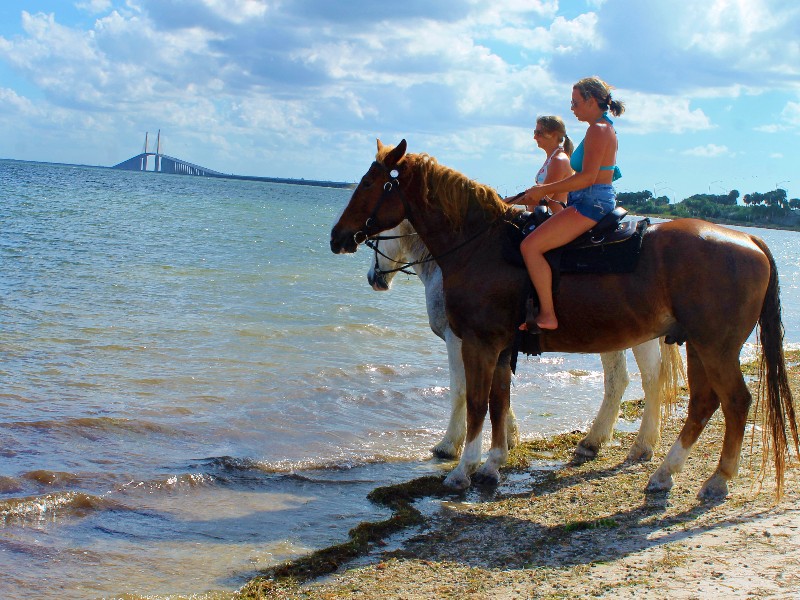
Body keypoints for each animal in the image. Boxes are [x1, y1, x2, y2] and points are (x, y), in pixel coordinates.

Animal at [368, 218, 680, 462]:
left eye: (377, 235)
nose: (373, 278)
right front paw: (510, 436)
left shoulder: (458, 341)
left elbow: (463, 389)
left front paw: (447, 446)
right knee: (620, 381)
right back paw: (595, 442)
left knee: (650, 380)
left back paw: (641, 446)